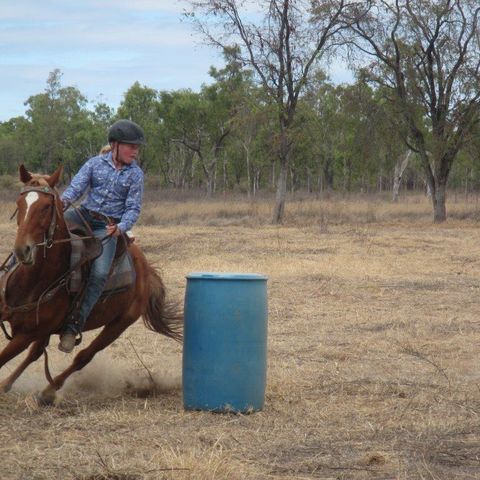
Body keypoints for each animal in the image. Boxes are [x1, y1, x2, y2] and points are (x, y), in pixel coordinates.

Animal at [0, 163, 182, 404]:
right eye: (20, 203)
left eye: (46, 207)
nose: (23, 250)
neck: (33, 281)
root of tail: (146, 269)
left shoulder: (25, 335)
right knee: (37, 353)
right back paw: (7, 384)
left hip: (119, 324)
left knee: (83, 357)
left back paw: (48, 391)